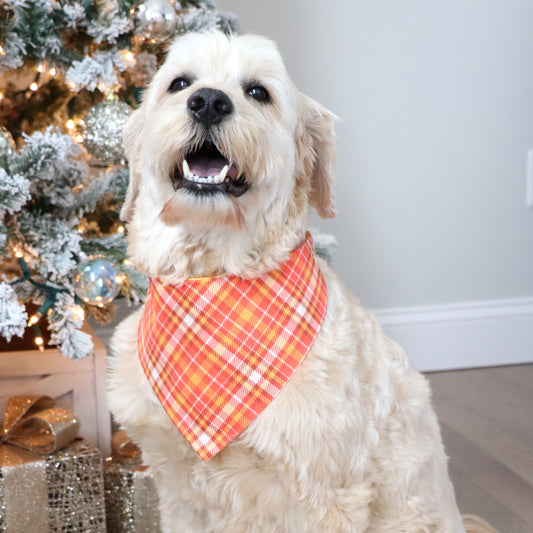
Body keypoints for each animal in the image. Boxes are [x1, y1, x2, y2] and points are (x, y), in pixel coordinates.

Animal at [106, 30, 496, 532]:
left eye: (258, 92)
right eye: (180, 83)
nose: (208, 101)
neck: (217, 275)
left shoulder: (325, 494)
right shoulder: (177, 488)